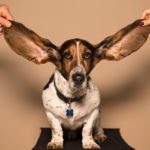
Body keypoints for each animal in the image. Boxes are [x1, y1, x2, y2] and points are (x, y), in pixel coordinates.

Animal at [2, 19, 150, 149]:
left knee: (98, 126)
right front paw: (56, 142)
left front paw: (90, 143)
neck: (71, 99)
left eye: (87, 55)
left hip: (99, 115)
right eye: (67, 55)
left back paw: (99, 135)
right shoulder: (50, 114)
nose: (78, 77)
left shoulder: (93, 113)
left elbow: (87, 130)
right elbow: (56, 129)